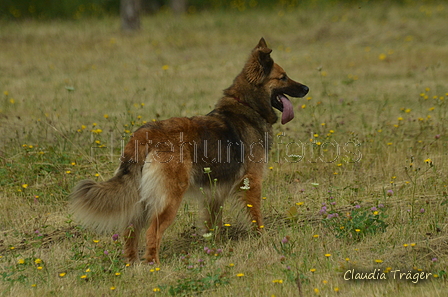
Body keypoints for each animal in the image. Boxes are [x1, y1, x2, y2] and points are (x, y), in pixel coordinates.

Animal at [70, 38, 308, 262]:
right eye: (283, 77)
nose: (306, 88)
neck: (246, 105)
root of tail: (144, 135)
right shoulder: (252, 182)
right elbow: (256, 216)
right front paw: (263, 238)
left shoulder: (215, 191)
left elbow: (213, 223)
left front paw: (214, 248)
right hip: (169, 197)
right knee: (152, 231)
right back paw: (153, 264)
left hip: (143, 199)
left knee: (130, 230)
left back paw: (132, 263)